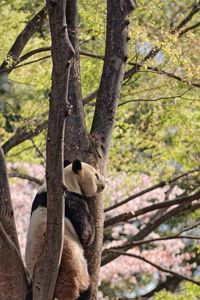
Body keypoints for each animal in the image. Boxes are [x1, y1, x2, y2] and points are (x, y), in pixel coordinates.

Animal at [25, 161, 105, 300]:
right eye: (96, 175)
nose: (104, 184)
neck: (67, 179)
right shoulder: (71, 200)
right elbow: (86, 232)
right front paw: (88, 236)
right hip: (74, 269)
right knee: (85, 287)